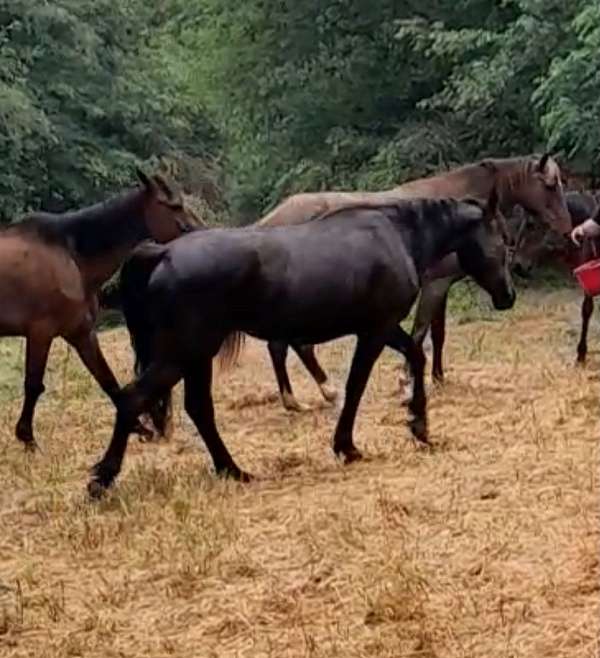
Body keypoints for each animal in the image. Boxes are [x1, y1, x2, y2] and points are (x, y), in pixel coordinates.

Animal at [1, 168, 200, 452]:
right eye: (174, 206)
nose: (201, 231)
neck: (71, 257)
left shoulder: (81, 333)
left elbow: (108, 380)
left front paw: (139, 427)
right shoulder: (41, 332)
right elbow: (33, 384)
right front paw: (27, 439)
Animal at [88, 187, 516, 494]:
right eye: (502, 241)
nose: (508, 296)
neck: (398, 235)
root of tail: (162, 253)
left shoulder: (381, 327)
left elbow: (415, 355)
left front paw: (418, 425)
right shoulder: (375, 330)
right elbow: (357, 385)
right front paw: (348, 445)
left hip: (195, 356)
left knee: (198, 409)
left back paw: (233, 470)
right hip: (185, 352)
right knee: (133, 399)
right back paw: (102, 479)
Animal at [255, 154, 568, 410]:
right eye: (551, 185)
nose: (565, 228)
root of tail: (271, 220)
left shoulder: (442, 286)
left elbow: (438, 334)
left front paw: (438, 378)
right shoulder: (435, 285)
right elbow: (420, 332)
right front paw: (406, 384)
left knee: (282, 347)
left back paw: (298, 399)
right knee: (292, 346)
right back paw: (323, 392)